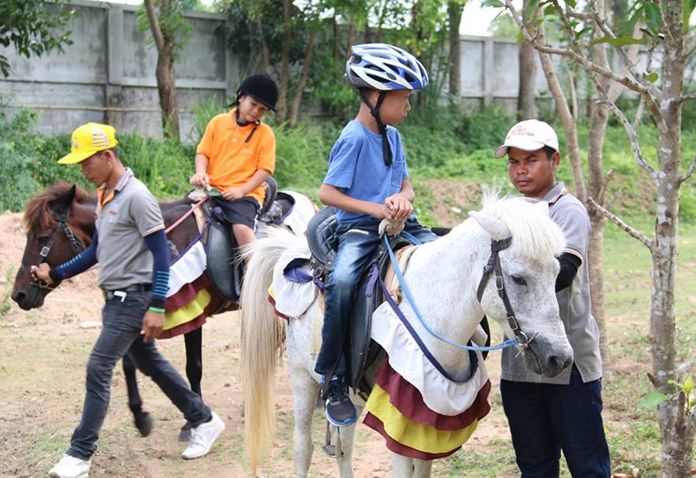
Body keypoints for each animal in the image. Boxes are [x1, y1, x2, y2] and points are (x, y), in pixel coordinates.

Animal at [242, 194, 572, 478]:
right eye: (518, 278)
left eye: (558, 272)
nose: (559, 358)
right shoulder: (396, 417)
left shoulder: (427, 423)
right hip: (303, 378)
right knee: (303, 449)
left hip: (351, 395)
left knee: (343, 449)